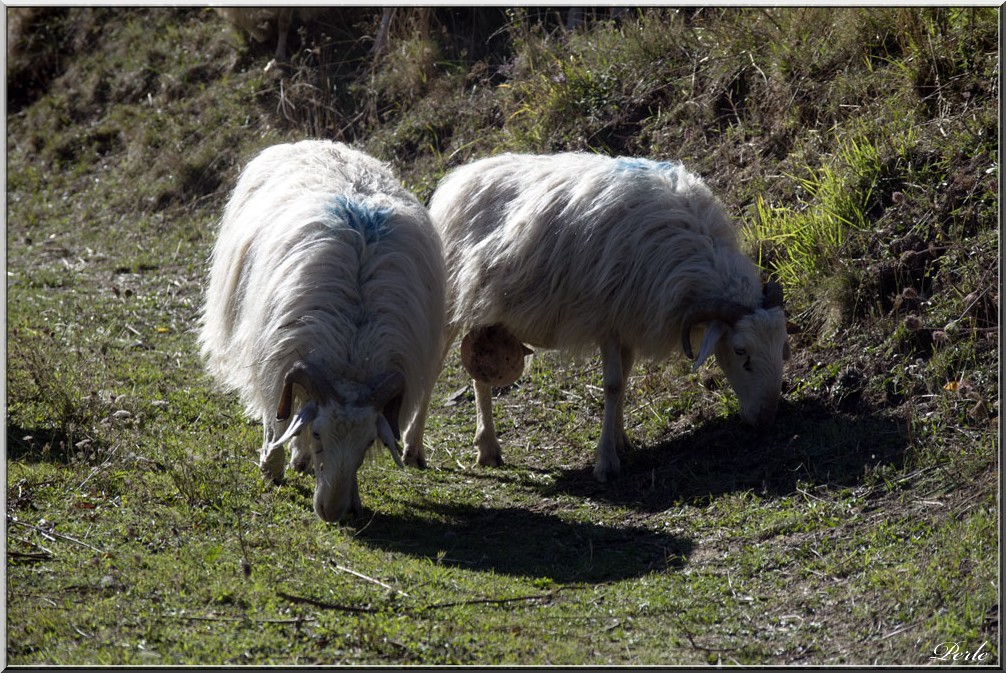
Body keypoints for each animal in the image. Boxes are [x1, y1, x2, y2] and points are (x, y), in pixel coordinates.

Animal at [196, 140, 444, 519]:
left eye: (368, 442)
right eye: (318, 434)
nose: (331, 511)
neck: (353, 352)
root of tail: (319, 142)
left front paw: (351, 496)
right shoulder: (276, 358)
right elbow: (278, 417)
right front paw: (271, 466)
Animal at [420, 150, 788, 482]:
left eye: (782, 346)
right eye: (740, 351)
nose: (768, 418)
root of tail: (462, 175)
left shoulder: (627, 322)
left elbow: (624, 378)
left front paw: (621, 440)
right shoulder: (608, 318)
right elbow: (612, 384)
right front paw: (606, 461)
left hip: (485, 312)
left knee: (480, 374)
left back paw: (488, 448)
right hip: (450, 299)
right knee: (434, 365)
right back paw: (416, 450)